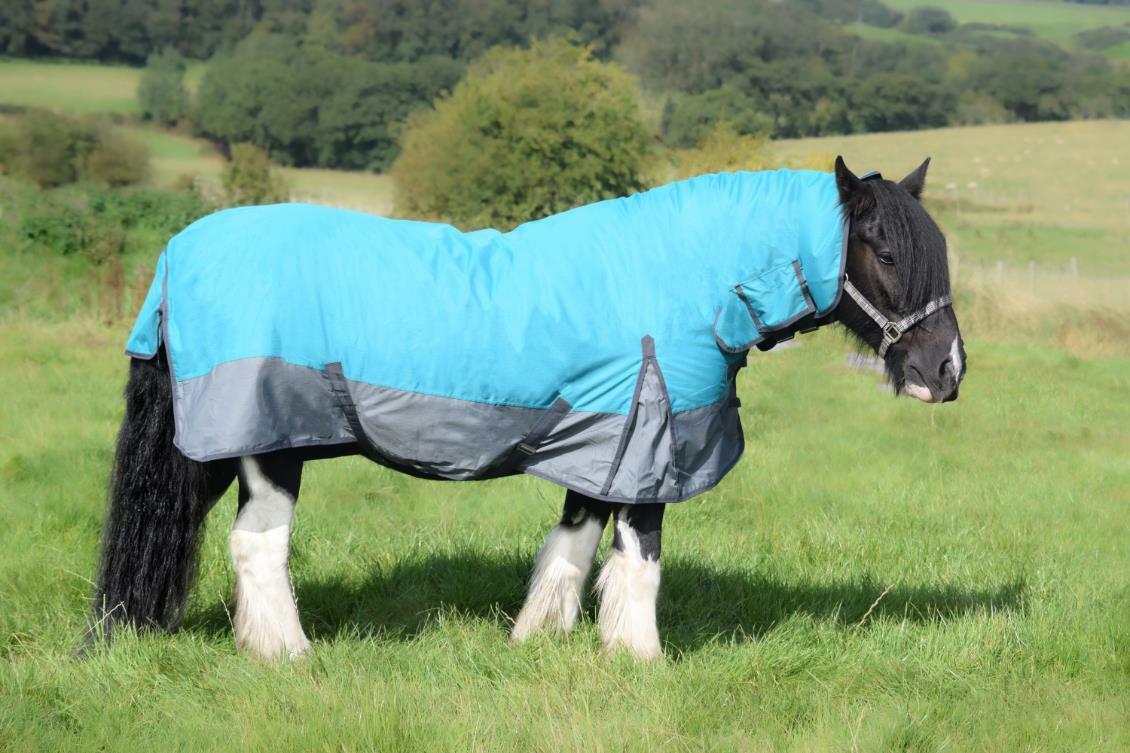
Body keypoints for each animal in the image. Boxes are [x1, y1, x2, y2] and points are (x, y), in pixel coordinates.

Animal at [86, 157, 964, 660]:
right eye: (886, 250)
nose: (947, 370)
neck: (683, 280)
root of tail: (177, 256)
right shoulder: (650, 447)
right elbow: (639, 562)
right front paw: (639, 660)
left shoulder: (606, 443)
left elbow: (572, 548)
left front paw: (535, 640)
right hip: (270, 447)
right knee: (258, 546)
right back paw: (288, 653)